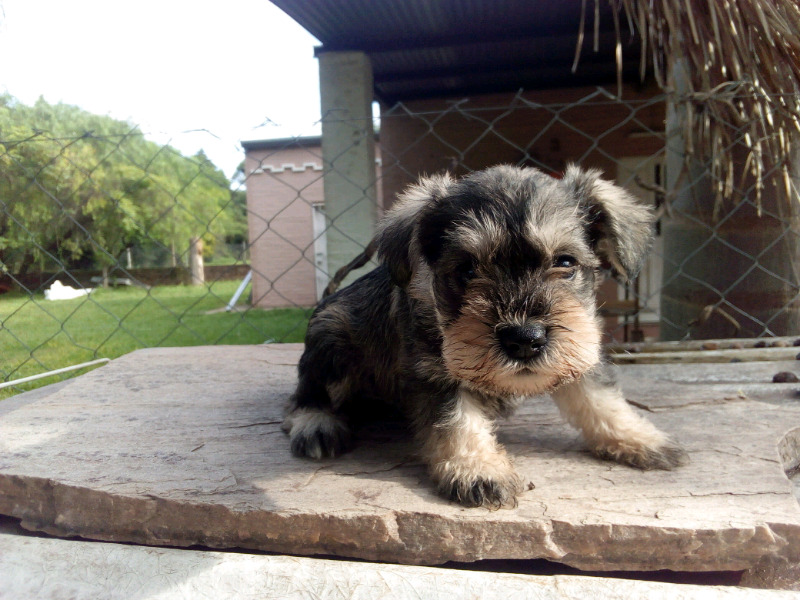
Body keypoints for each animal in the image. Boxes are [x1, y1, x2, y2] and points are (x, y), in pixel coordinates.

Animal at [282, 163, 688, 506]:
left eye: (565, 262)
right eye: (467, 269)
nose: (524, 339)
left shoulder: (580, 348)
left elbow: (600, 397)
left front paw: (638, 438)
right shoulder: (435, 371)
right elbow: (457, 420)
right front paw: (478, 470)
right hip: (332, 337)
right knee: (306, 393)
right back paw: (315, 425)